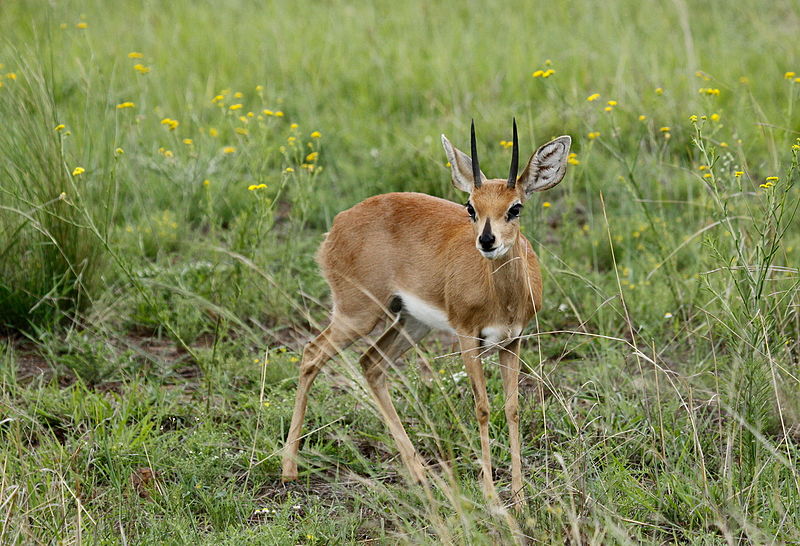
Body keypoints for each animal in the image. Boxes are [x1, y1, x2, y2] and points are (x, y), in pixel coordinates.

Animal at [282, 119, 568, 506]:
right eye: (470, 207)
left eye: (516, 207)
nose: (487, 241)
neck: (503, 297)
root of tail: (338, 225)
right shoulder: (467, 337)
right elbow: (482, 408)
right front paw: (492, 497)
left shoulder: (513, 341)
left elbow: (512, 409)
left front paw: (520, 497)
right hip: (359, 314)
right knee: (312, 354)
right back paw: (289, 470)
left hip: (411, 322)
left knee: (371, 364)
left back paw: (420, 474)